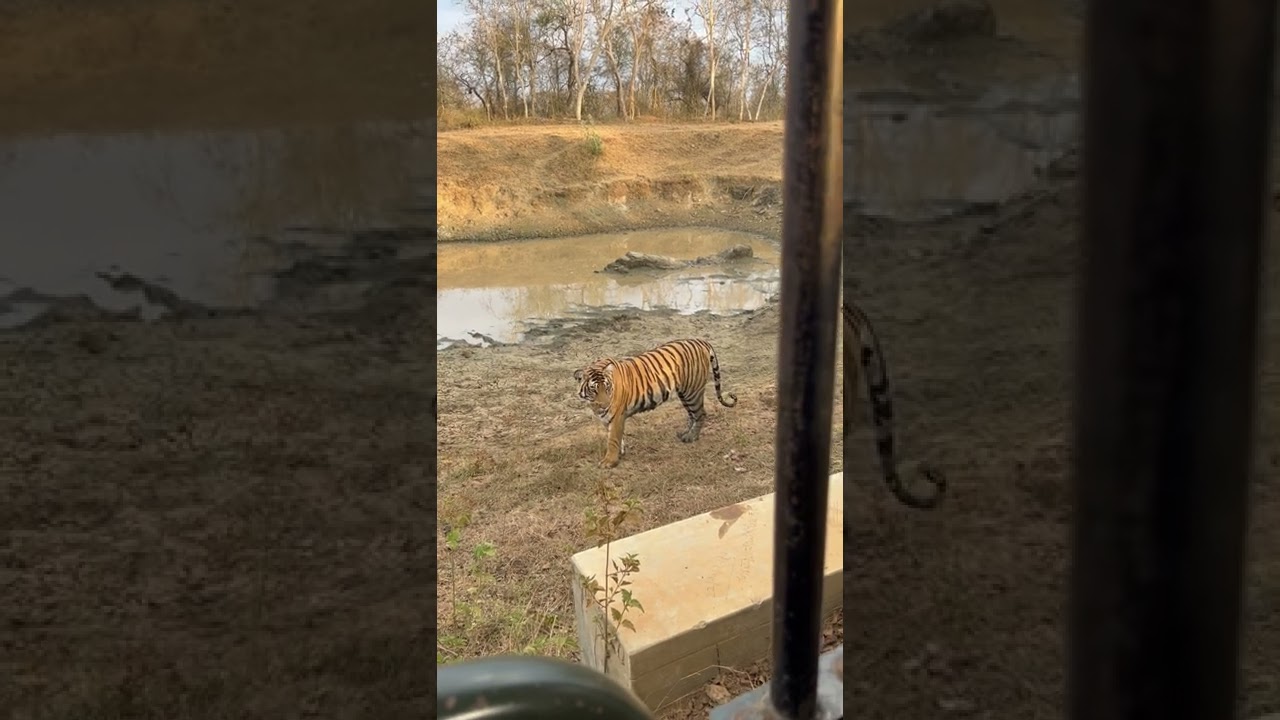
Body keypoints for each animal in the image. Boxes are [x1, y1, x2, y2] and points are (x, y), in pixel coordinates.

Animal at [574, 338, 738, 468]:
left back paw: (691, 437)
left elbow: (613, 439)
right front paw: (620, 452)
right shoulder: (606, 417)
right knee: (692, 415)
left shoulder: (617, 416)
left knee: (700, 414)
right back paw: (685, 433)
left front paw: (610, 461)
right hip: (684, 393)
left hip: (692, 391)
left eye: (607, 388)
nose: (604, 405)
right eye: (593, 389)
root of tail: (700, 340)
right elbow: (614, 438)